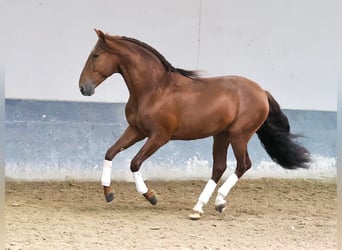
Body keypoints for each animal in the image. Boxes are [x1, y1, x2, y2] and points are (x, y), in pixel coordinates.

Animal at [79, 29, 310, 220]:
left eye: (96, 55)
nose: (83, 87)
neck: (153, 89)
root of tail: (261, 91)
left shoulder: (159, 137)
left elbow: (134, 163)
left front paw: (151, 196)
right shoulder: (136, 130)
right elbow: (110, 152)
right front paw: (108, 193)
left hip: (239, 135)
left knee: (243, 165)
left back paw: (217, 202)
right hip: (221, 135)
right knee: (219, 167)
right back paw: (201, 208)